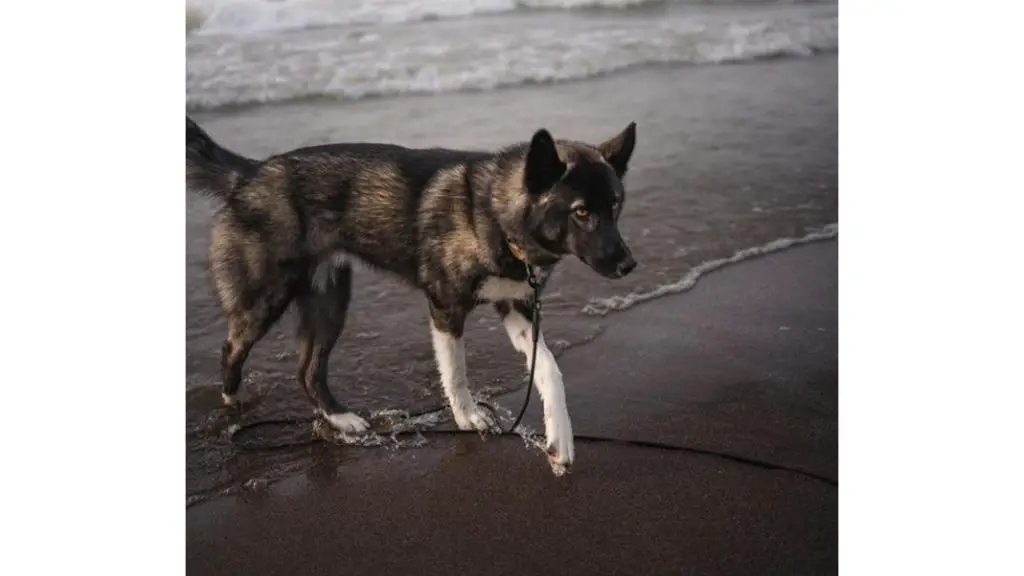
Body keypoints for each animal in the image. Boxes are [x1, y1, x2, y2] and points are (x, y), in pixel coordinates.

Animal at [182, 114, 630, 469]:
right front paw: (468, 418)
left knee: (308, 370)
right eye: (581, 212)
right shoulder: (445, 310)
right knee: (232, 349)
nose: (629, 265)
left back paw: (340, 420)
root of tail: (250, 173)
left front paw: (560, 438)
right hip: (264, 299)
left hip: (330, 303)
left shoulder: (518, 309)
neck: (492, 214)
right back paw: (233, 402)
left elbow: (550, 370)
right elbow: (456, 373)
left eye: (615, 205)